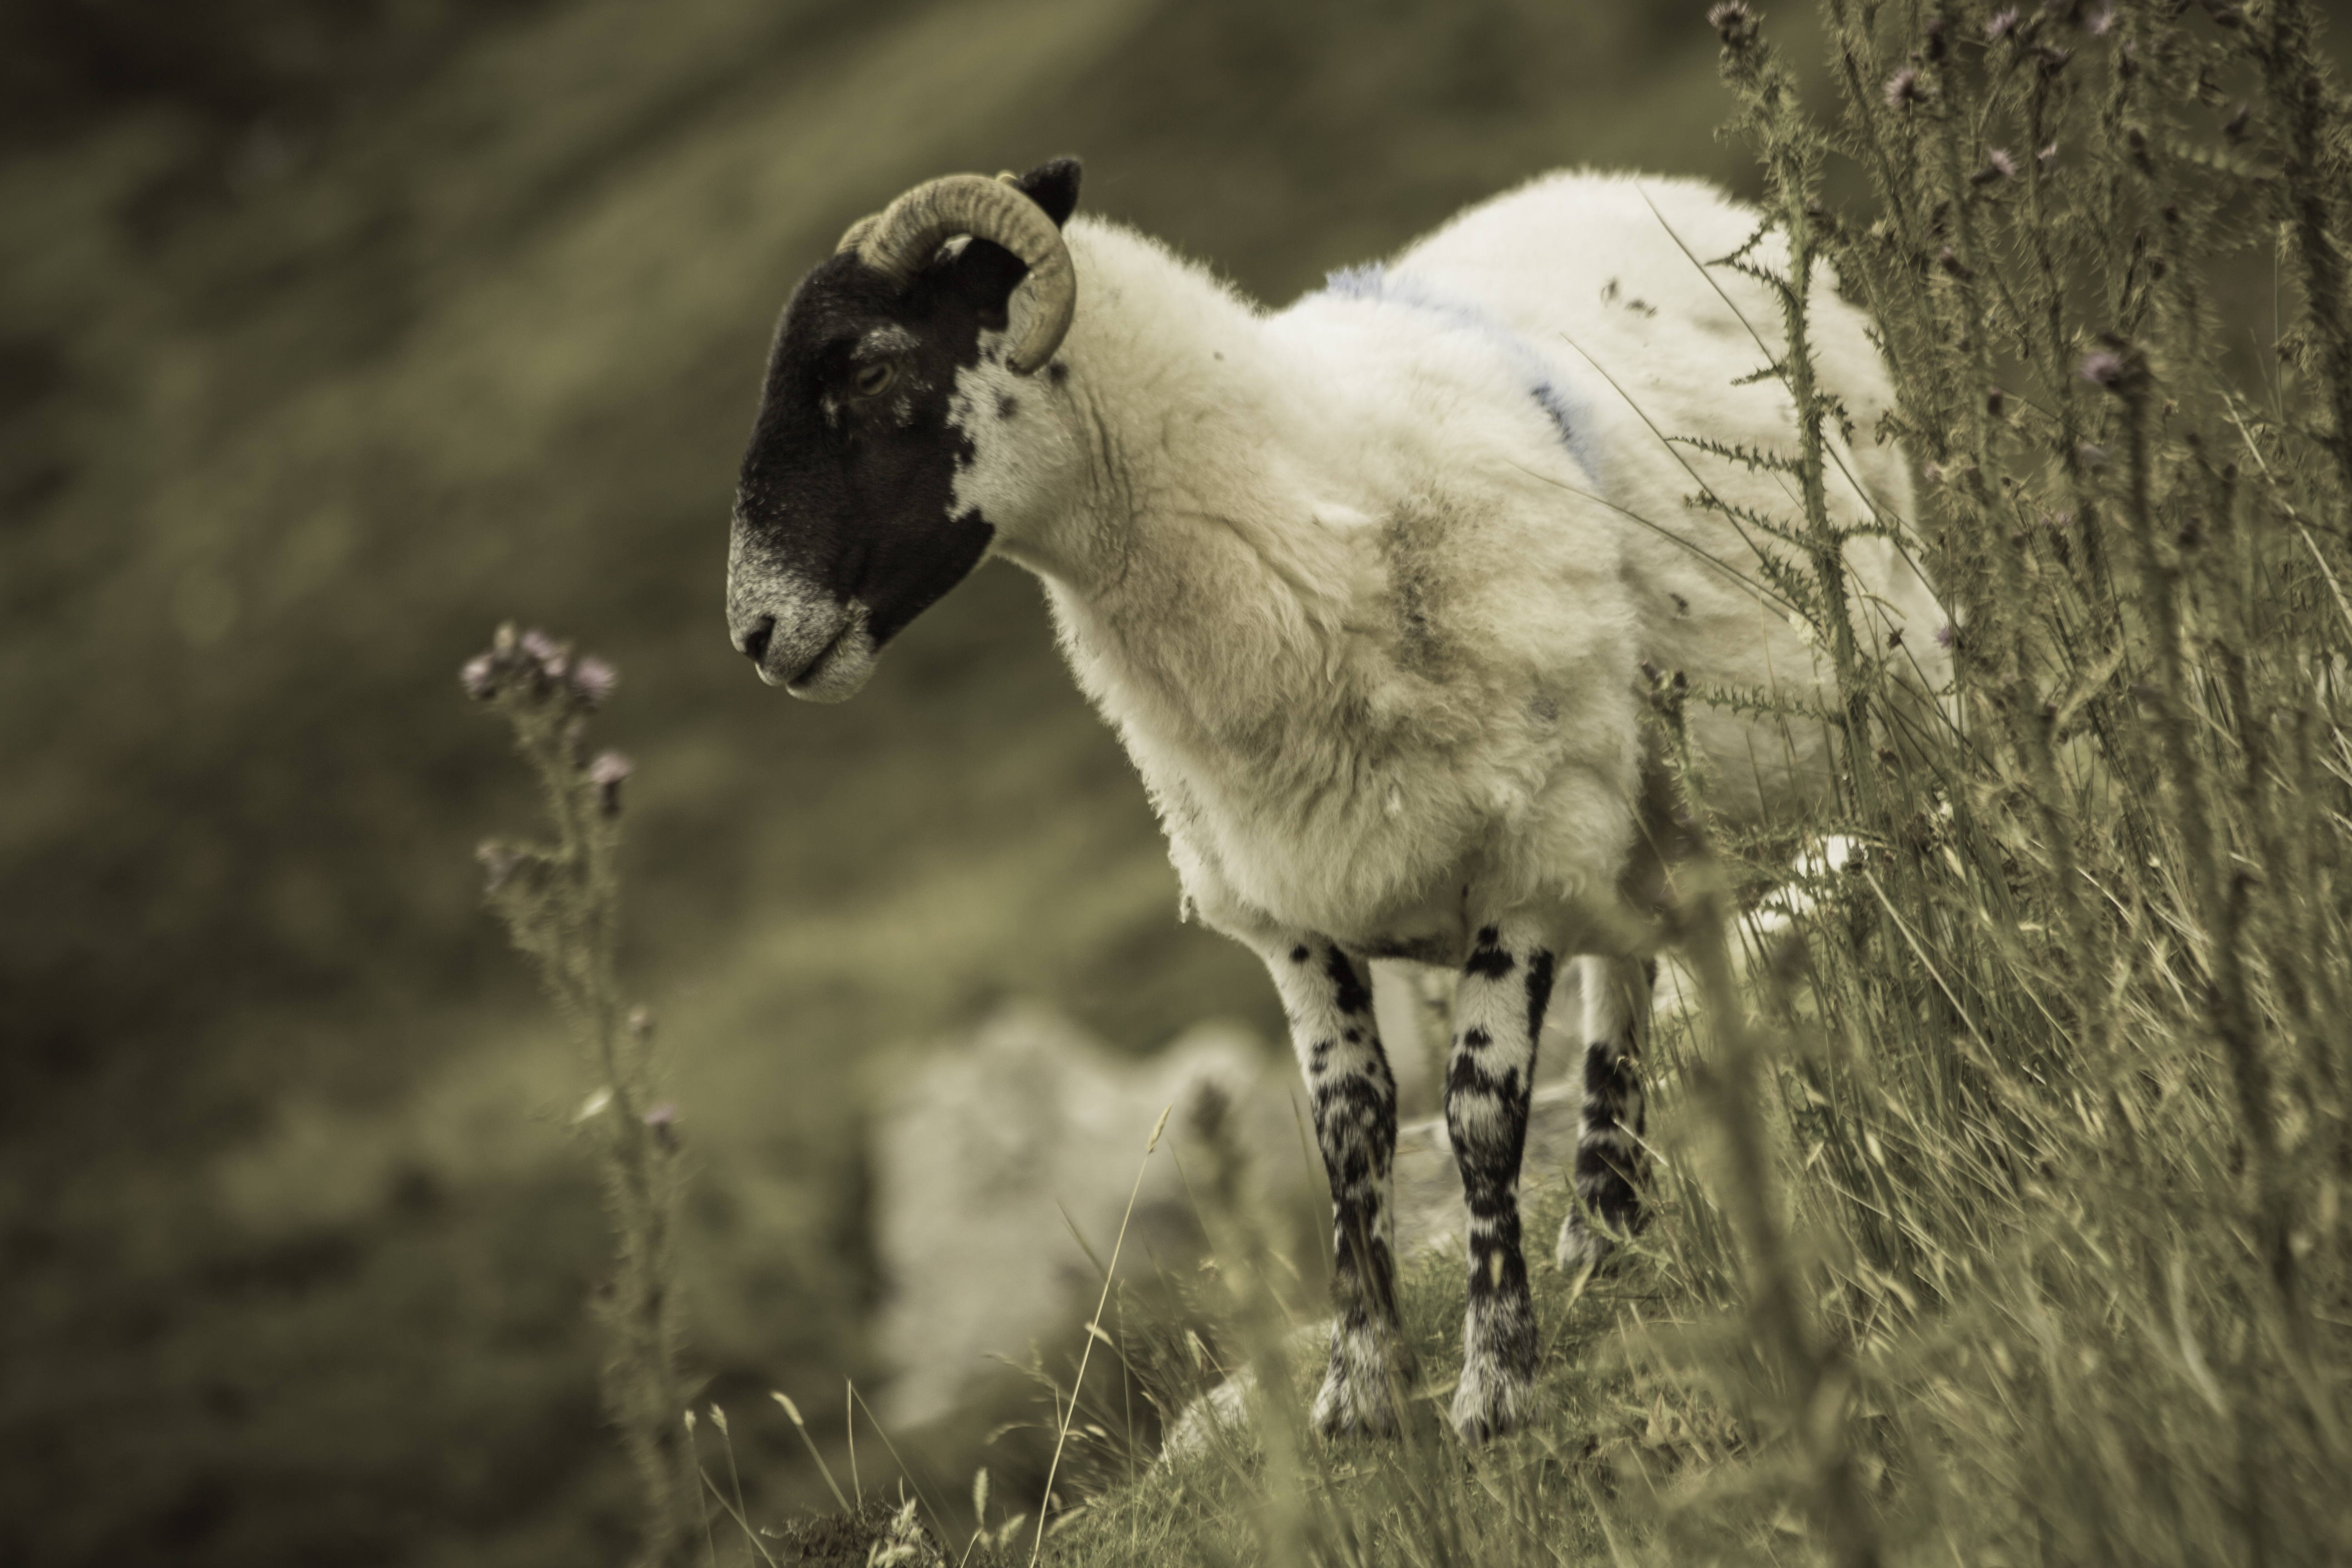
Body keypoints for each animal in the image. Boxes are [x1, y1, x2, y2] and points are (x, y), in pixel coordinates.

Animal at [723, 157, 1949, 1442]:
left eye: (868, 365)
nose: (753, 632)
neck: (1301, 512)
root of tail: (1655, 185)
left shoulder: (1523, 860)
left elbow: (1476, 1115)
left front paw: (1494, 1376)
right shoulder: (1295, 913)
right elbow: (1350, 1128)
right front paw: (1358, 1387)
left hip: (1884, 661)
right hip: (1637, 801)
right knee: (1644, 956)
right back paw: (1606, 1213)